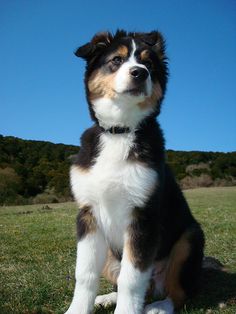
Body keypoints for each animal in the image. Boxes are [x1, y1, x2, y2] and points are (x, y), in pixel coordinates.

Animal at [65, 30, 205, 314]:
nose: (140, 73)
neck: (120, 131)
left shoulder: (143, 217)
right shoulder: (88, 215)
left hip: (190, 238)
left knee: (178, 292)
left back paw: (158, 307)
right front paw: (77, 309)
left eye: (149, 64)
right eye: (117, 60)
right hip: (110, 252)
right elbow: (84, 273)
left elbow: (132, 278)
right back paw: (108, 297)